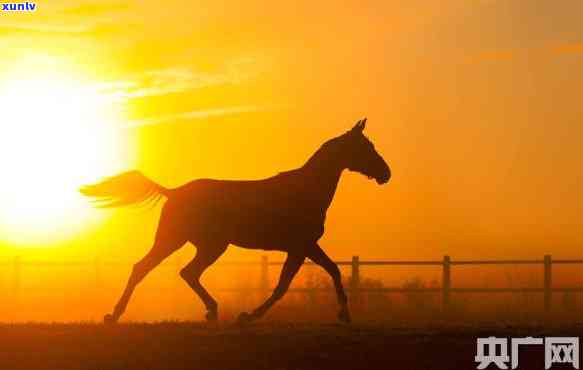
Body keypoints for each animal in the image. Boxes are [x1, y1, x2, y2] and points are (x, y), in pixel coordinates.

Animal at [81, 119, 392, 324]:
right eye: (366, 147)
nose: (385, 173)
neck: (306, 190)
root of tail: (173, 191)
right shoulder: (299, 247)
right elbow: (283, 285)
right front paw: (248, 316)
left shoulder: (306, 246)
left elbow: (332, 271)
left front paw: (344, 315)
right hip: (187, 241)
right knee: (159, 270)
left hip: (197, 244)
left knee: (172, 271)